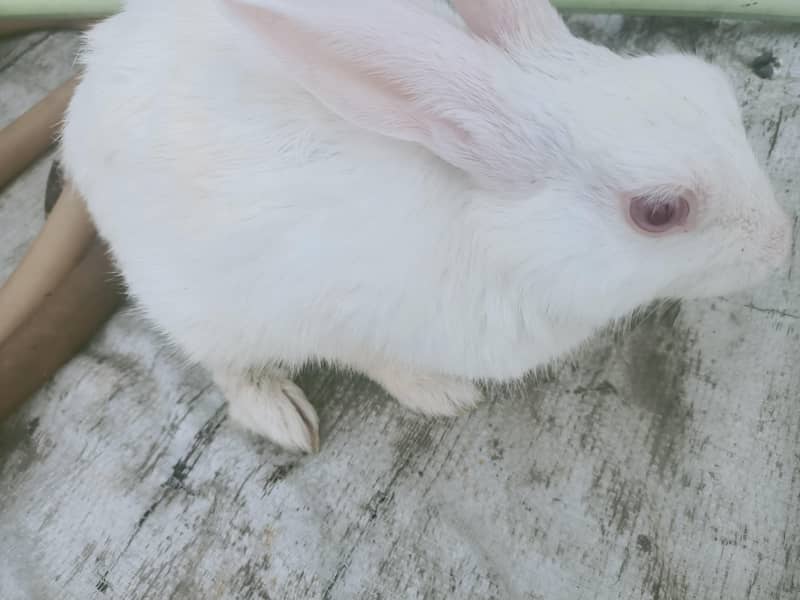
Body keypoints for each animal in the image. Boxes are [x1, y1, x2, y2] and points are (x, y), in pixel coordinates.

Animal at [60, 0, 792, 453]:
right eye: (658, 212)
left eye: (712, 91)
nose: (781, 243)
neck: (506, 244)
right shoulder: (338, 314)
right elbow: (380, 362)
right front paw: (441, 394)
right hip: (200, 308)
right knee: (232, 373)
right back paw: (283, 416)